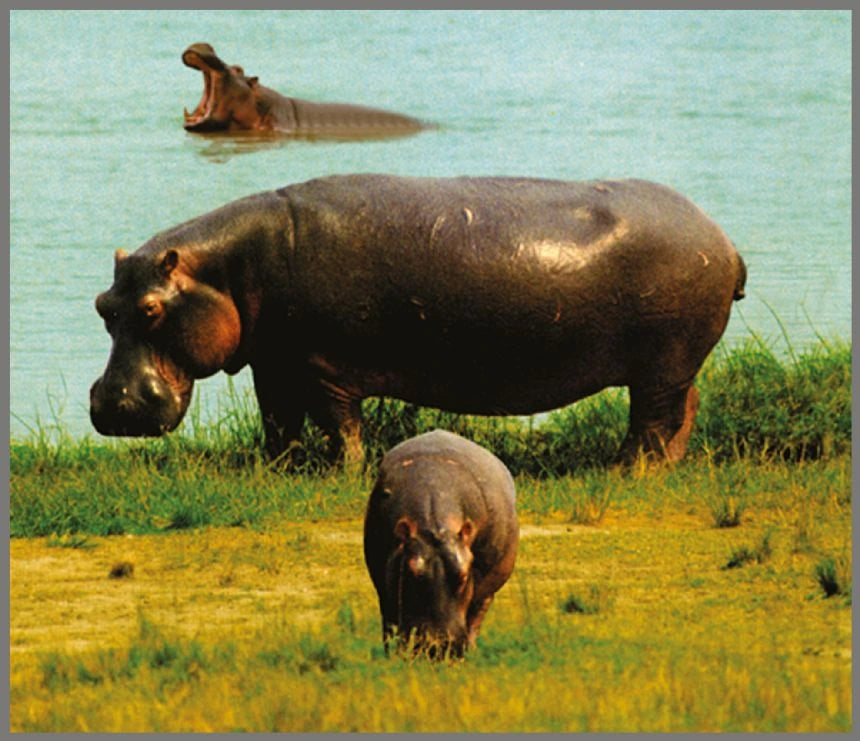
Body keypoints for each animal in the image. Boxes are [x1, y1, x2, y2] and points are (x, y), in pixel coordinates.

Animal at [89, 174, 747, 466]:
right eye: (102, 307)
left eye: (150, 309)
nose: (112, 404)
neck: (225, 269)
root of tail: (722, 238)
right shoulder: (275, 362)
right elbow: (277, 420)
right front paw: (276, 469)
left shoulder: (324, 367)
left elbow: (338, 424)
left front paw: (342, 472)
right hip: (675, 368)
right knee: (682, 414)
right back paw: (662, 469)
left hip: (661, 366)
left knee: (653, 423)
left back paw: (628, 471)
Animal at [363, 429, 518, 657]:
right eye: (410, 572)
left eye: (463, 577)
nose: (438, 645)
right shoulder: (383, 579)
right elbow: (390, 621)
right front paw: (393, 655)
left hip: (489, 590)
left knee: (477, 615)